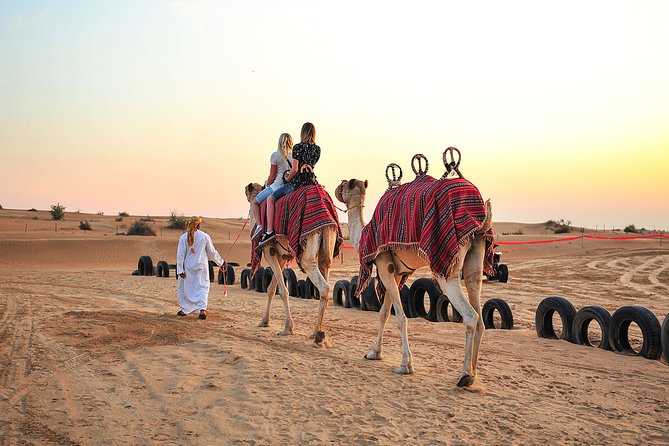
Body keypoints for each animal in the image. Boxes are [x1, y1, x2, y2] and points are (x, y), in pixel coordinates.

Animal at [245, 183, 340, 347]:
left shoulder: (268, 251)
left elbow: (283, 290)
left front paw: (287, 328)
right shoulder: (281, 256)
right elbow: (271, 288)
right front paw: (264, 321)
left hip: (308, 251)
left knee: (324, 287)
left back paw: (318, 336)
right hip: (327, 245)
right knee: (325, 271)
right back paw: (317, 332)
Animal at [335, 168, 493, 387]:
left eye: (345, 184)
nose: (336, 188)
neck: (365, 234)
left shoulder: (384, 265)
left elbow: (400, 318)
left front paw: (405, 365)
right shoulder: (395, 273)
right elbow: (383, 313)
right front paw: (373, 353)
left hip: (448, 267)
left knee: (470, 316)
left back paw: (464, 375)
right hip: (475, 256)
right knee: (478, 305)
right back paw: (474, 374)